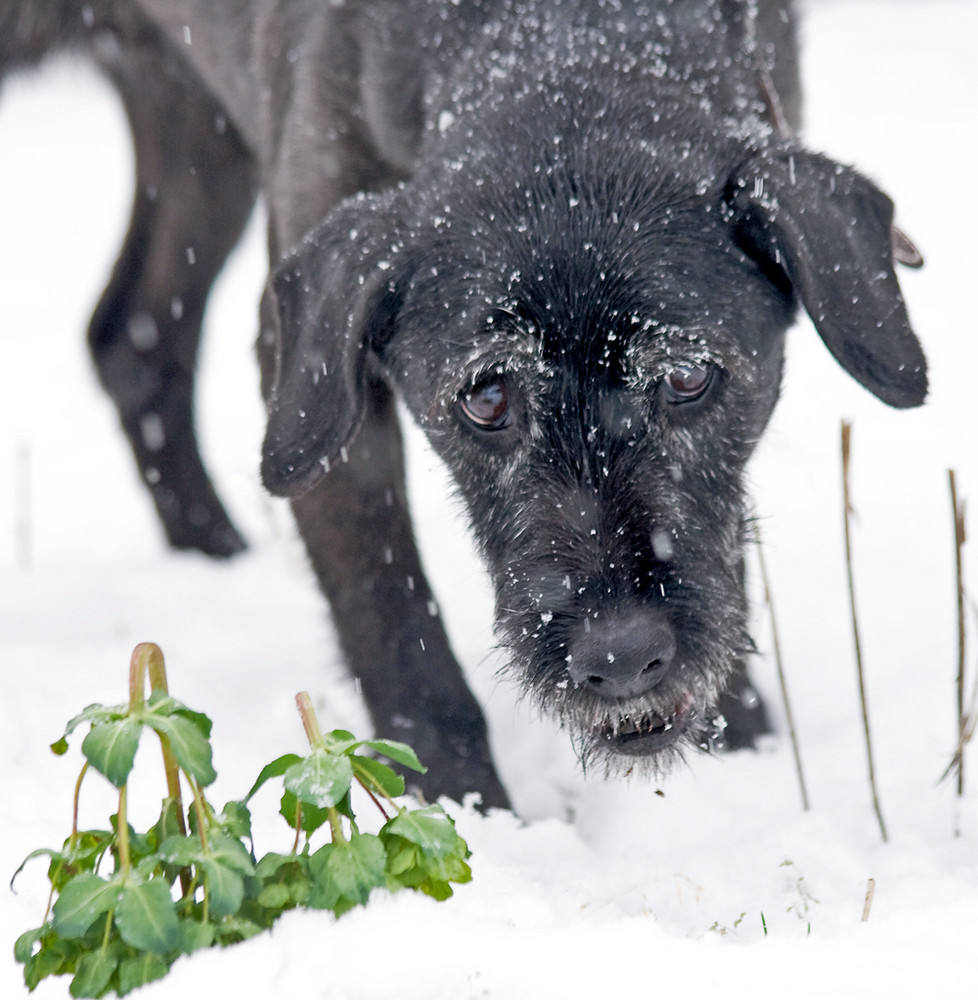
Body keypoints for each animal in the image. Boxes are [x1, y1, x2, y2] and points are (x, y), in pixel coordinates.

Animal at [3, 0, 924, 808]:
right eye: (486, 396)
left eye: (689, 377)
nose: (622, 656)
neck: (554, 42)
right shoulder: (314, 382)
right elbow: (393, 621)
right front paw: (459, 810)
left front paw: (743, 754)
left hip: (196, 127)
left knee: (134, 341)